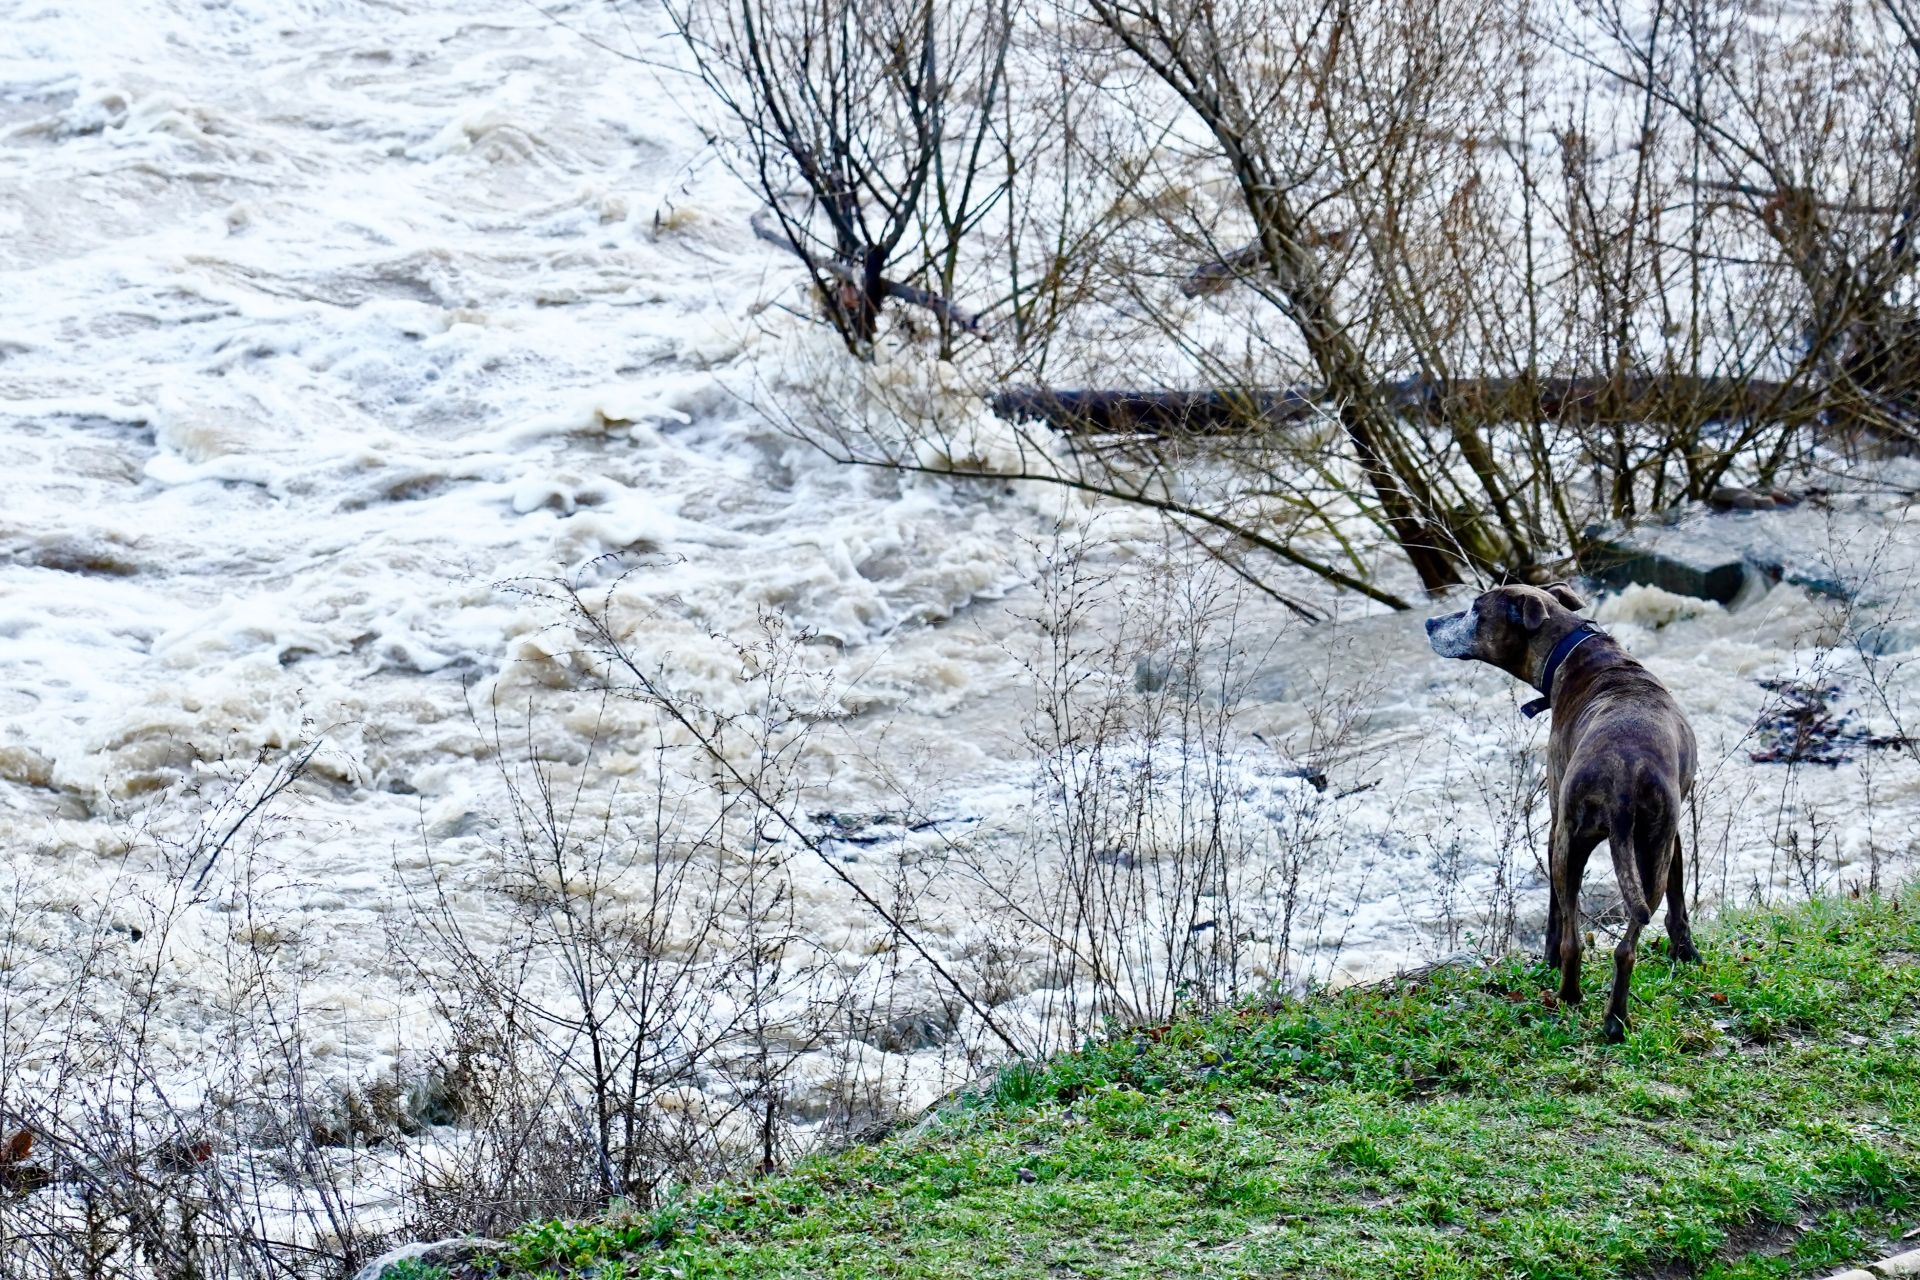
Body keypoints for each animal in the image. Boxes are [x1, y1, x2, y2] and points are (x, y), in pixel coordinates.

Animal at [1428, 587, 1697, 1043]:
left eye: (1476, 610)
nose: (1430, 622)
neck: (1574, 647)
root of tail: (1624, 774)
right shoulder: (1671, 835)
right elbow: (1678, 902)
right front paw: (1688, 954)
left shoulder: (1557, 823)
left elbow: (1558, 913)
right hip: (1649, 853)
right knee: (1626, 945)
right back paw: (1614, 1019)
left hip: (1577, 842)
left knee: (1577, 938)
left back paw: (1571, 995)